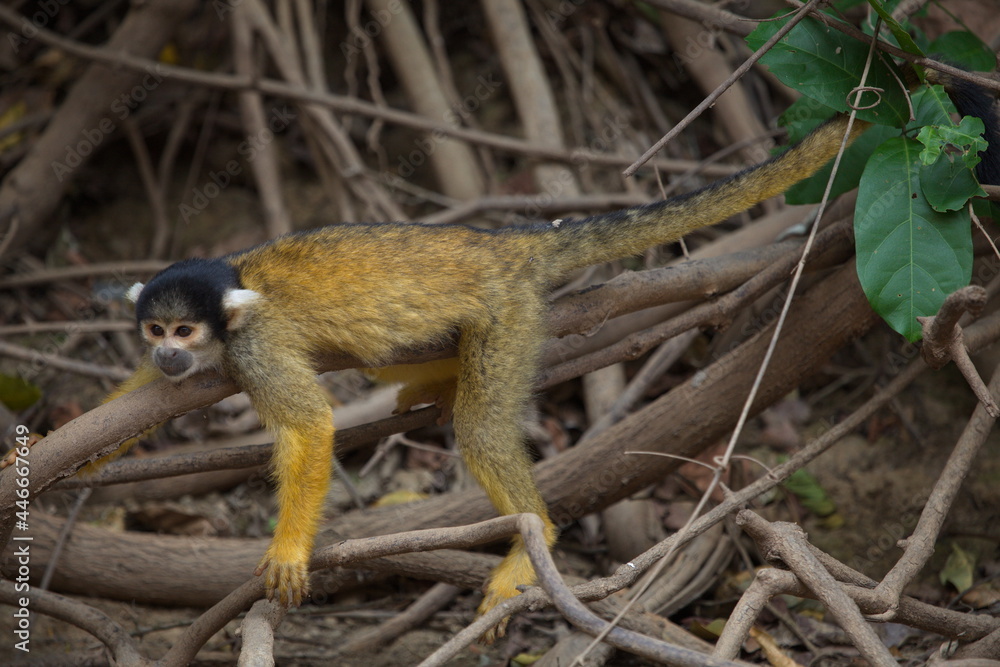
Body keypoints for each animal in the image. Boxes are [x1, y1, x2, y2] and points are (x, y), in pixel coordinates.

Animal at [104, 113, 871, 624]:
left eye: (183, 329)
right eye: (155, 330)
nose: (169, 350)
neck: (232, 302)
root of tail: (509, 244)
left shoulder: (253, 344)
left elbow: (310, 426)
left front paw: (290, 548)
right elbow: (127, 406)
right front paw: (85, 459)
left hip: (509, 312)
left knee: (479, 424)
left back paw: (535, 537)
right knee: (387, 358)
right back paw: (435, 383)